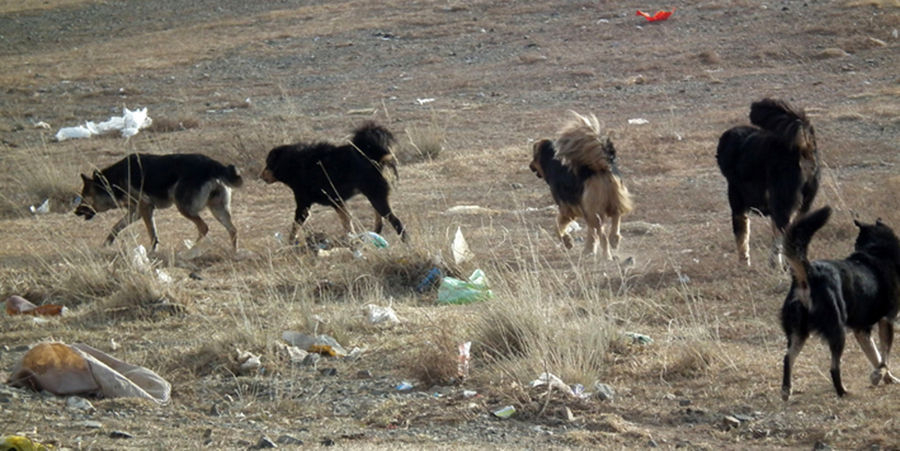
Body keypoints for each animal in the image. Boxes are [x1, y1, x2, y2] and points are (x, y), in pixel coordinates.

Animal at [74, 152, 243, 251]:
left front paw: (152, 252)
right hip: (218, 210)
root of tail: (212, 164)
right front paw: (106, 244)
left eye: (84, 196)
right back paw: (234, 252)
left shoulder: (145, 207)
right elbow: (116, 227)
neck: (112, 182)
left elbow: (152, 233)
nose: (75, 212)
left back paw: (189, 250)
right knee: (233, 230)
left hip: (184, 207)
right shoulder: (136, 212)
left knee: (204, 227)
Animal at [260, 121, 408, 244]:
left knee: (396, 221)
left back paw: (405, 241)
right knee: (380, 218)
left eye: (268, 164)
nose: (260, 176)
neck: (293, 163)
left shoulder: (304, 205)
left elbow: (295, 226)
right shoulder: (337, 201)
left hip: (376, 196)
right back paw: (376, 232)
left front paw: (289, 242)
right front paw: (351, 239)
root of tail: (374, 158)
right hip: (375, 196)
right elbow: (347, 223)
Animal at [528, 111, 632, 260]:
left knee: (603, 235)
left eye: (533, 157)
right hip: (612, 199)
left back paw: (607, 255)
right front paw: (588, 250)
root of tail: (600, 167)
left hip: (594, 210)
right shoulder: (585, 209)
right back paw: (615, 239)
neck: (551, 160)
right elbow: (591, 233)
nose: (529, 165)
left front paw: (568, 242)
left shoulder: (567, 209)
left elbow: (556, 226)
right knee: (616, 216)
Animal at [716, 98, 824, 268]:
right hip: (803, 206)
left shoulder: (738, 206)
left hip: (783, 206)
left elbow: (742, 239)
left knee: (782, 237)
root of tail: (803, 147)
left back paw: (778, 264)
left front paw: (744, 264)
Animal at [780, 207, 900, 400]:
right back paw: (843, 391)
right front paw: (878, 375)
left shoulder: (862, 330)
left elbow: (875, 355)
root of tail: (809, 273)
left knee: (788, 358)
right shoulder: (887, 320)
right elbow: (884, 356)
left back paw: (786, 390)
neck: (877, 250)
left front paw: (886, 378)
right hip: (837, 331)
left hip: (799, 332)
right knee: (834, 367)